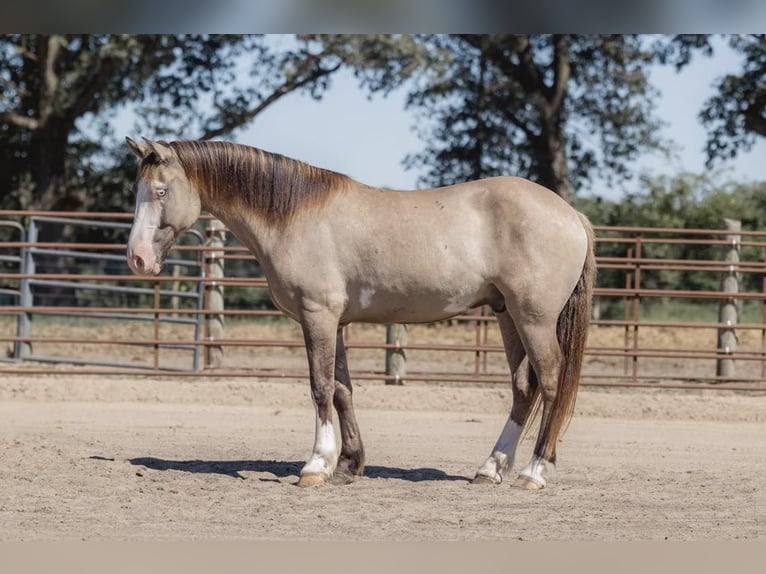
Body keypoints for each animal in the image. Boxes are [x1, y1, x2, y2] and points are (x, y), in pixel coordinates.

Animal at [126, 138, 596, 490]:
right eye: (137, 192)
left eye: (161, 191)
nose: (138, 258)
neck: (294, 214)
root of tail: (571, 214)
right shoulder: (335, 322)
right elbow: (342, 390)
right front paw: (349, 464)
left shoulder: (317, 314)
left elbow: (319, 388)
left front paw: (316, 465)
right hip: (506, 316)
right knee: (523, 388)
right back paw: (490, 469)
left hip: (533, 319)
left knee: (551, 383)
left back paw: (534, 472)